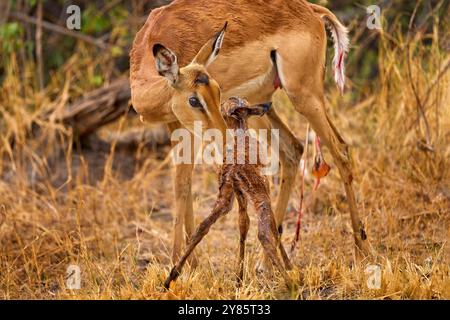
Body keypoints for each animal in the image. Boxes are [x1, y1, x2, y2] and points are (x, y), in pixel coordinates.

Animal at [165, 97, 292, 288]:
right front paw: (290, 266)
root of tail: (233, 167)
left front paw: (239, 279)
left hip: (224, 199)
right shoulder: (265, 191)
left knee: (202, 227)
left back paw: (171, 277)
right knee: (263, 234)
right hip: (260, 197)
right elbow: (273, 228)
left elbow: (243, 226)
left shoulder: (238, 194)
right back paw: (291, 283)